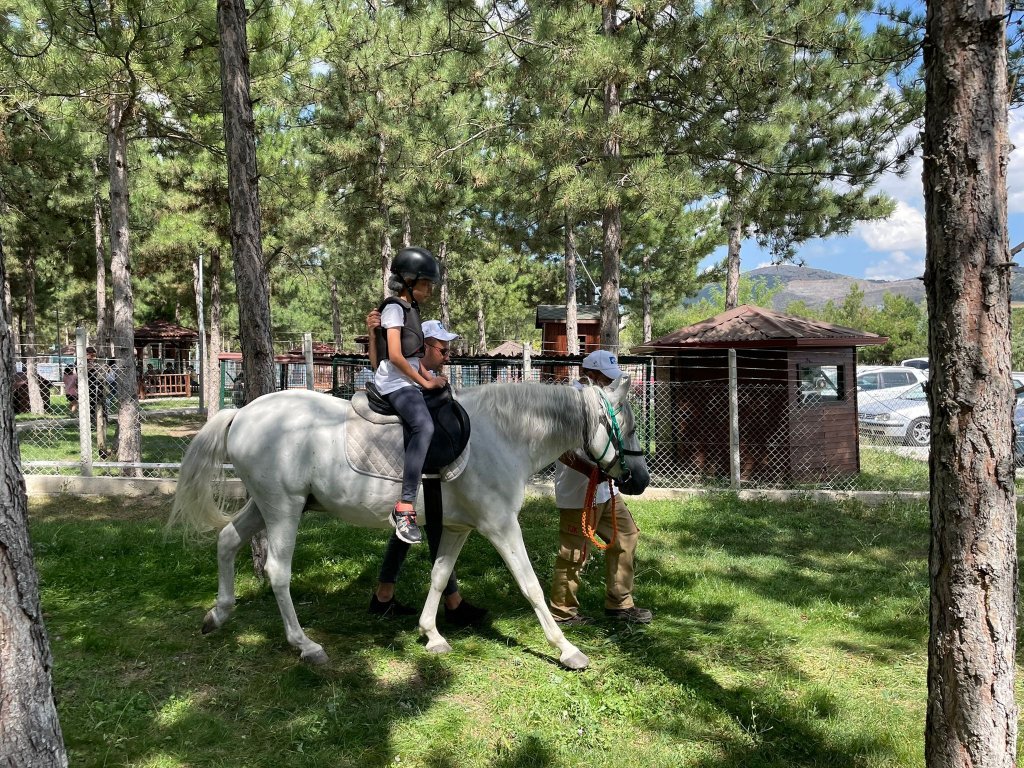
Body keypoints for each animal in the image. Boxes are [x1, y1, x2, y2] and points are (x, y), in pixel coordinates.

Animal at [168, 376, 650, 670]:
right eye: (625, 424)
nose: (641, 480)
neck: (504, 434)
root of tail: (242, 413)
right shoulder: (500, 526)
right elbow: (530, 585)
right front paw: (568, 650)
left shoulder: (457, 529)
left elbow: (439, 576)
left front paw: (431, 634)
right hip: (282, 508)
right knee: (277, 572)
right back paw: (305, 644)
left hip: (267, 505)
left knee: (227, 540)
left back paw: (219, 613)